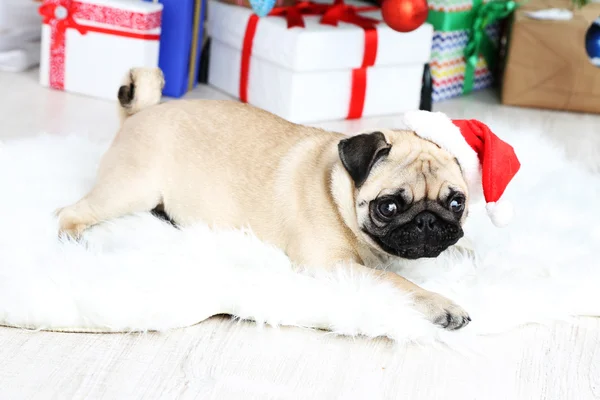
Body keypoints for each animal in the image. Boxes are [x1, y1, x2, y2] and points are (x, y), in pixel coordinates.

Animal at [59, 67, 474, 330]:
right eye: (388, 207)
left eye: (457, 204)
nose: (427, 221)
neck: (336, 188)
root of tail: (140, 114)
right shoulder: (333, 266)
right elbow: (398, 282)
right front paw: (442, 305)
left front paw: (465, 252)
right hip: (130, 190)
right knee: (70, 210)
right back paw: (72, 239)